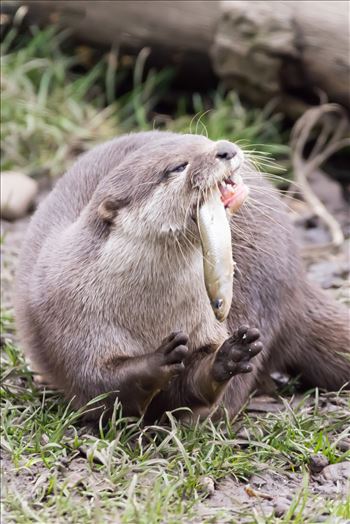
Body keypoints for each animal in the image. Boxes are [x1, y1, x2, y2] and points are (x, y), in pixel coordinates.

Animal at [15, 130, 350, 422]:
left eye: (204, 139)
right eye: (178, 166)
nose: (224, 148)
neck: (150, 313)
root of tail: (298, 280)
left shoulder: (203, 321)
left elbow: (194, 383)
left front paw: (227, 357)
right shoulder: (73, 321)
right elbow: (102, 384)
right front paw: (155, 362)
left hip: (262, 292)